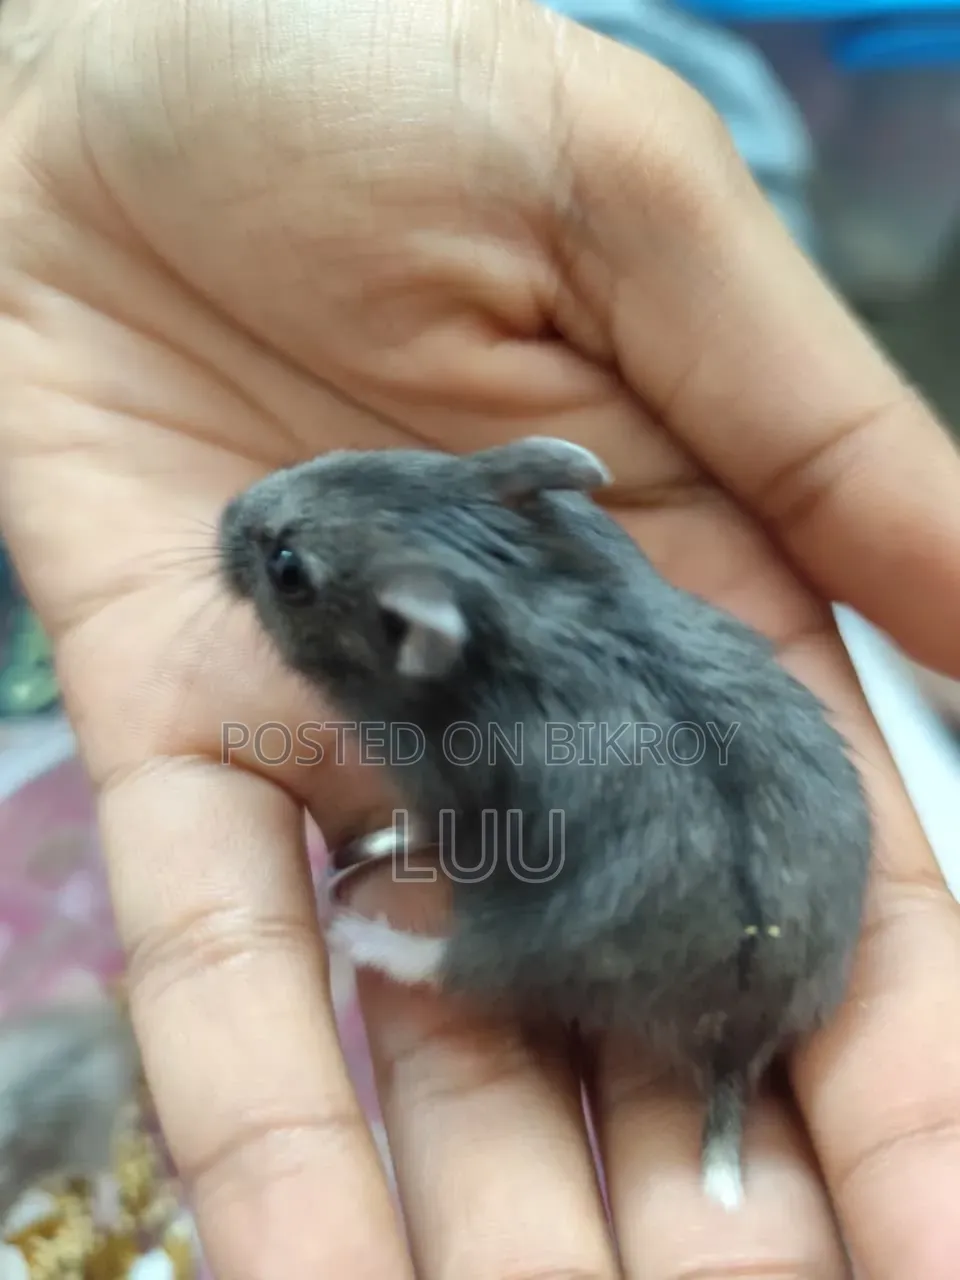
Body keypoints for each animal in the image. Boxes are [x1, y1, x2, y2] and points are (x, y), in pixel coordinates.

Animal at [217, 436, 873, 1209]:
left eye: (287, 569)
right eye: (364, 452)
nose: (226, 513)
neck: (508, 590)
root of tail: (738, 1046)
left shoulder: (441, 789)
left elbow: (427, 828)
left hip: (544, 937)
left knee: (453, 966)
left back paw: (354, 929)